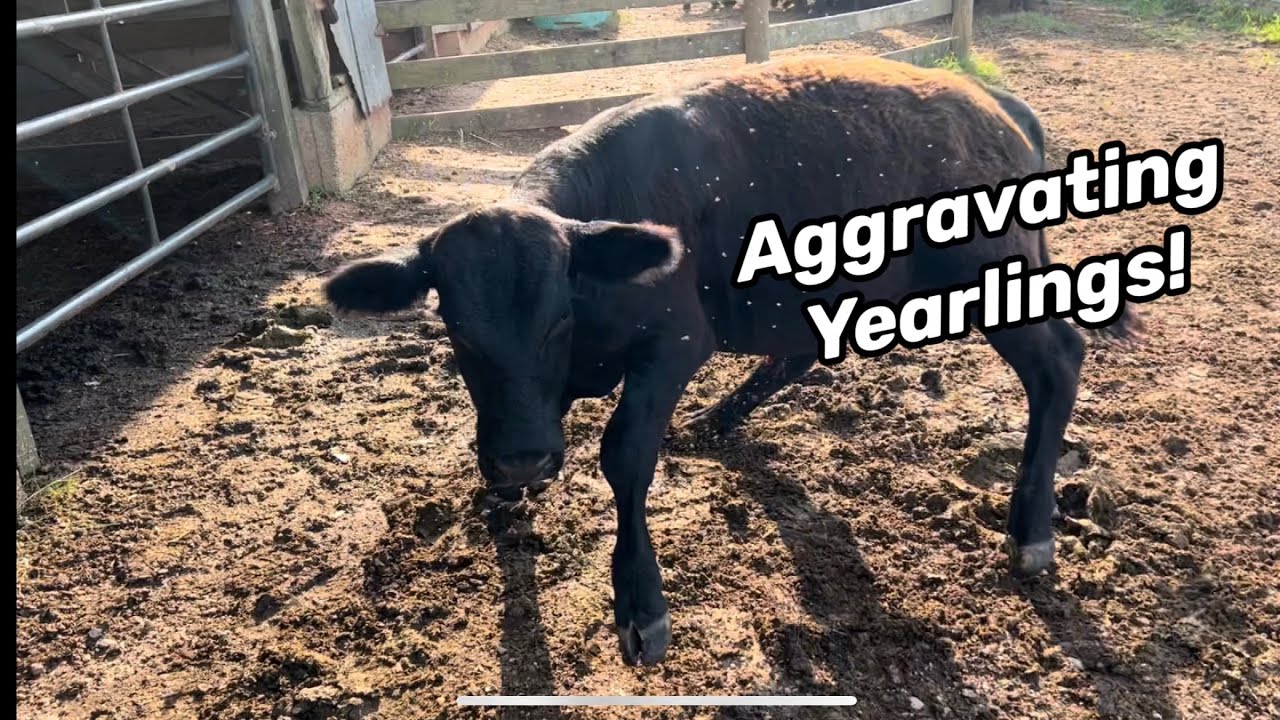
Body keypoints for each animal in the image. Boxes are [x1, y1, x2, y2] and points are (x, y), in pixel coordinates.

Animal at [323, 55, 1141, 667]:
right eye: (457, 330)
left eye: (559, 319)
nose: (524, 459)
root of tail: (992, 101)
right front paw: (503, 499)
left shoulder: (676, 344)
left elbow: (625, 455)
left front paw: (640, 603)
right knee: (800, 355)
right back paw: (715, 423)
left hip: (989, 273)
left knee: (1059, 361)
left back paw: (1031, 528)